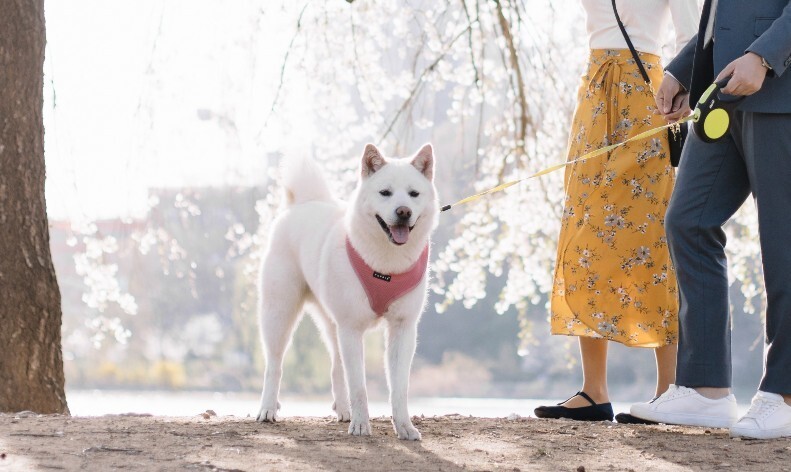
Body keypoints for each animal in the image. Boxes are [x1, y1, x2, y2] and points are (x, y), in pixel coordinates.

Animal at [255, 143, 436, 438]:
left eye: (414, 194)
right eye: (385, 192)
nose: (403, 211)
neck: (386, 264)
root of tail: (304, 202)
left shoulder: (403, 328)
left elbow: (399, 388)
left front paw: (405, 427)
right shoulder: (352, 328)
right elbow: (359, 386)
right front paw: (361, 425)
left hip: (333, 322)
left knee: (335, 367)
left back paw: (343, 409)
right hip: (279, 314)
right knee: (275, 365)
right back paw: (268, 409)